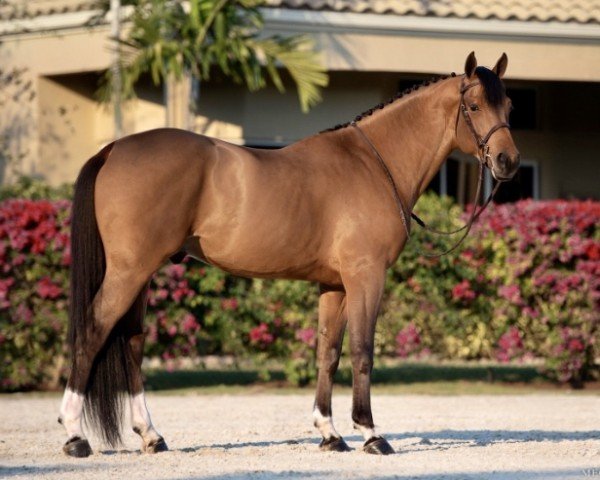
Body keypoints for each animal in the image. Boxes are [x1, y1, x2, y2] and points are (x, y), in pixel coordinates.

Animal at [59, 52, 520, 458]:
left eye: (509, 105)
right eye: (474, 105)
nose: (507, 162)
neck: (375, 164)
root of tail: (114, 149)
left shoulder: (334, 285)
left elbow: (328, 353)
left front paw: (329, 433)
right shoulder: (365, 276)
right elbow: (363, 351)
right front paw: (371, 434)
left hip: (141, 275)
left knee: (132, 341)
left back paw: (151, 435)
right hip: (129, 272)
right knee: (93, 332)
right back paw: (74, 435)